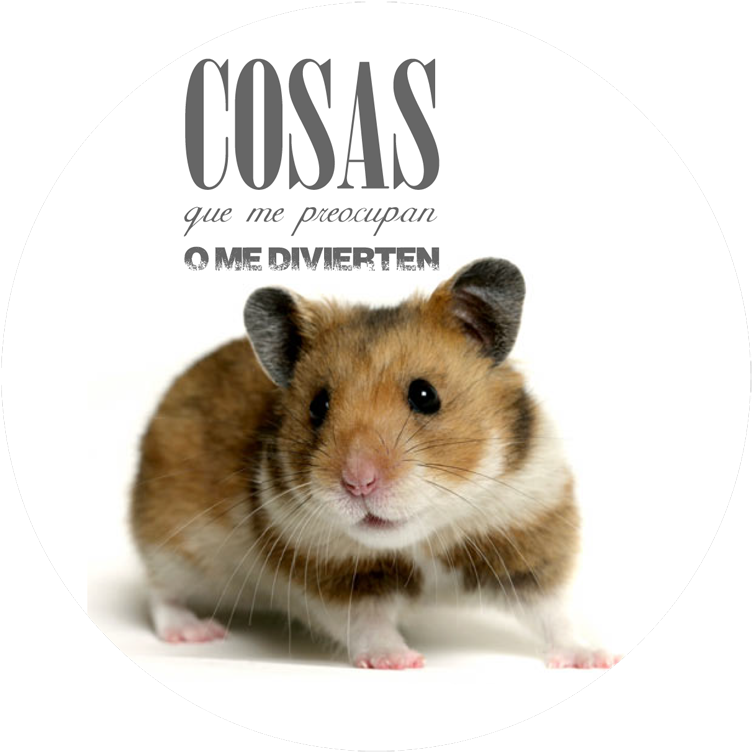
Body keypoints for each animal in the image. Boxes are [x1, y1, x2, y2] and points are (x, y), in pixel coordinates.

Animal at [130, 257, 618, 669]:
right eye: (318, 406)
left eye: (425, 395)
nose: (358, 483)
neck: (423, 538)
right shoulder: (334, 576)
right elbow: (367, 622)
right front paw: (401, 662)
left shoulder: (526, 536)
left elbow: (553, 612)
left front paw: (593, 658)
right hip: (171, 543)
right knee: (160, 594)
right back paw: (195, 632)